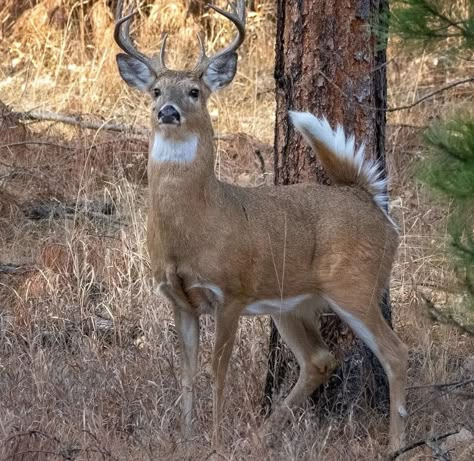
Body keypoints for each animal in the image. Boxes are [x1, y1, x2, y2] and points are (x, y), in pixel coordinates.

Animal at [114, 0, 408, 450]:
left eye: (195, 92)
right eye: (156, 91)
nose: (167, 111)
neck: (194, 227)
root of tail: (369, 199)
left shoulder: (231, 292)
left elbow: (217, 372)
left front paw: (215, 443)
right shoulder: (179, 299)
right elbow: (186, 374)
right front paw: (186, 440)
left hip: (355, 285)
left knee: (395, 353)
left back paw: (396, 444)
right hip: (292, 302)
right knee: (319, 359)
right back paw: (260, 436)